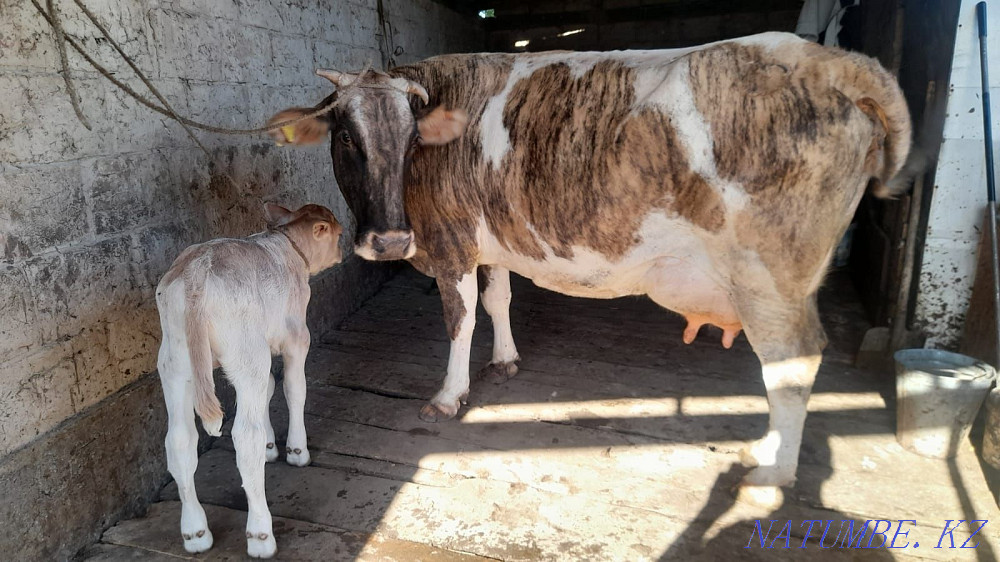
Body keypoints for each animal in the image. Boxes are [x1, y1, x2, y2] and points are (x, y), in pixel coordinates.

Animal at [155, 203, 343, 558]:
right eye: (337, 234)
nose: (341, 252)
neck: (288, 246)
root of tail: (195, 275)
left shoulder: (263, 342)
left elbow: (268, 387)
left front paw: (271, 446)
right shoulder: (296, 336)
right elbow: (294, 389)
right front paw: (295, 450)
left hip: (175, 362)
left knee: (180, 439)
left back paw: (195, 531)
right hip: (244, 351)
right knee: (244, 437)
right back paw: (260, 534)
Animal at [268, 32, 910, 506]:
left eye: (409, 143)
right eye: (346, 139)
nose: (390, 240)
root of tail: (832, 60)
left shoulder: (451, 243)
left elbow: (460, 318)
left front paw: (450, 395)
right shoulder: (493, 242)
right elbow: (499, 300)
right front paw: (505, 360)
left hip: (771, 278)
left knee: (791, 364)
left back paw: (771, 477)